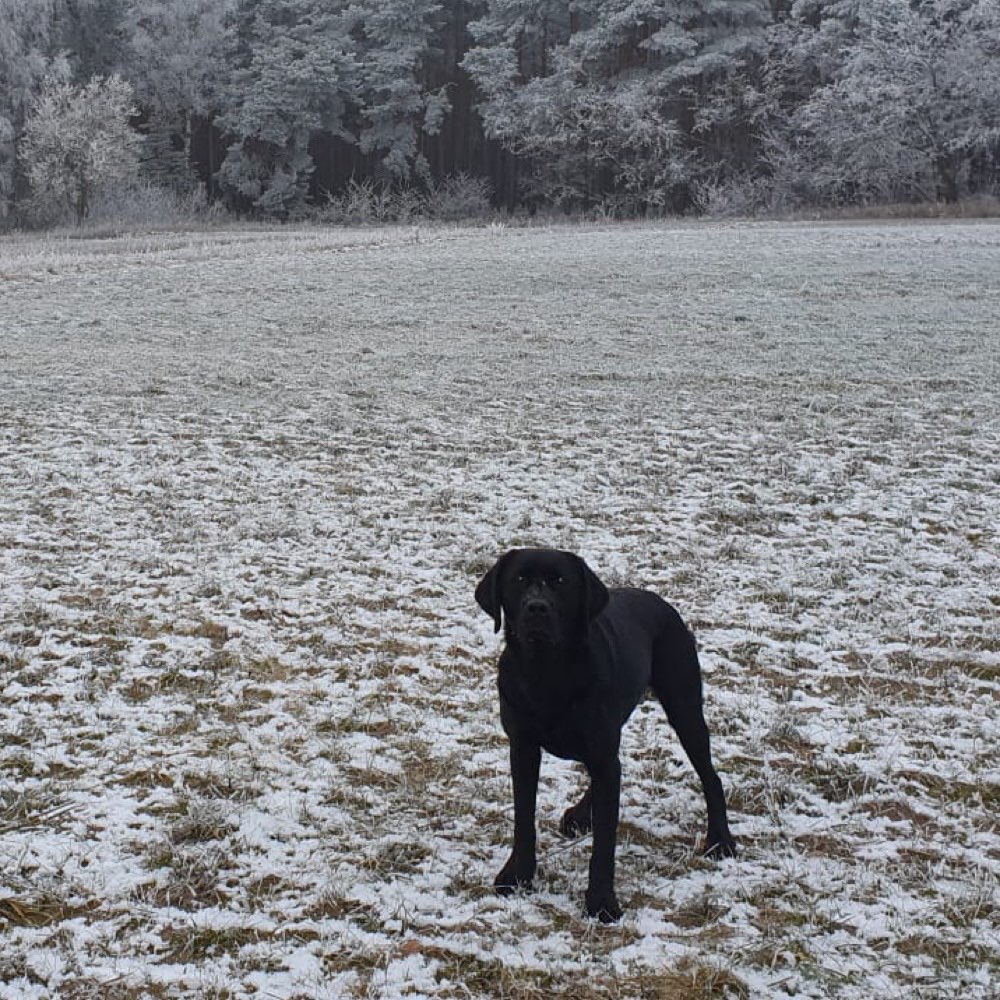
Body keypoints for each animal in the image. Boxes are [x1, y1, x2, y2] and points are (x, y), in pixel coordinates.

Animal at [476, 548, 736, 920]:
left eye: (560, 581)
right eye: (520, 579)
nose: (537, 607)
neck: (547, 671)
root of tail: (659, 601)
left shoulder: (600, 748)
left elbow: (604, 842)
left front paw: (601, 902)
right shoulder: (523, 748)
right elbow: (524, 819)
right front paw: (517, 876)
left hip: (683, 705)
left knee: (710, 776)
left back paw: (720, 840)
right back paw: (581, 814)